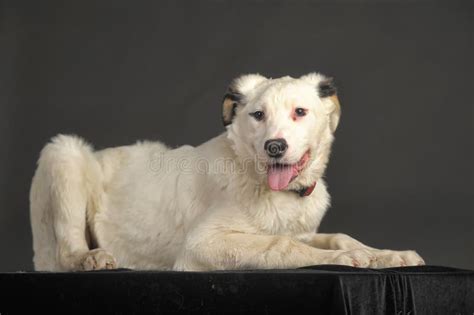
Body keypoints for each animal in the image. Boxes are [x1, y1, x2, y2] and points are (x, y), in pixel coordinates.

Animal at [27, 73, 424, 272]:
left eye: (300, 112)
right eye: (258, 115)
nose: (274, 147)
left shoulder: (301, 229)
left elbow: (336, 236)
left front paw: (388, 255)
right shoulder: (201, 244)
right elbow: (280, 247)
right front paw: (345, 260)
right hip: (64, 153)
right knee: (65, 251)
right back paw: (89, 258)